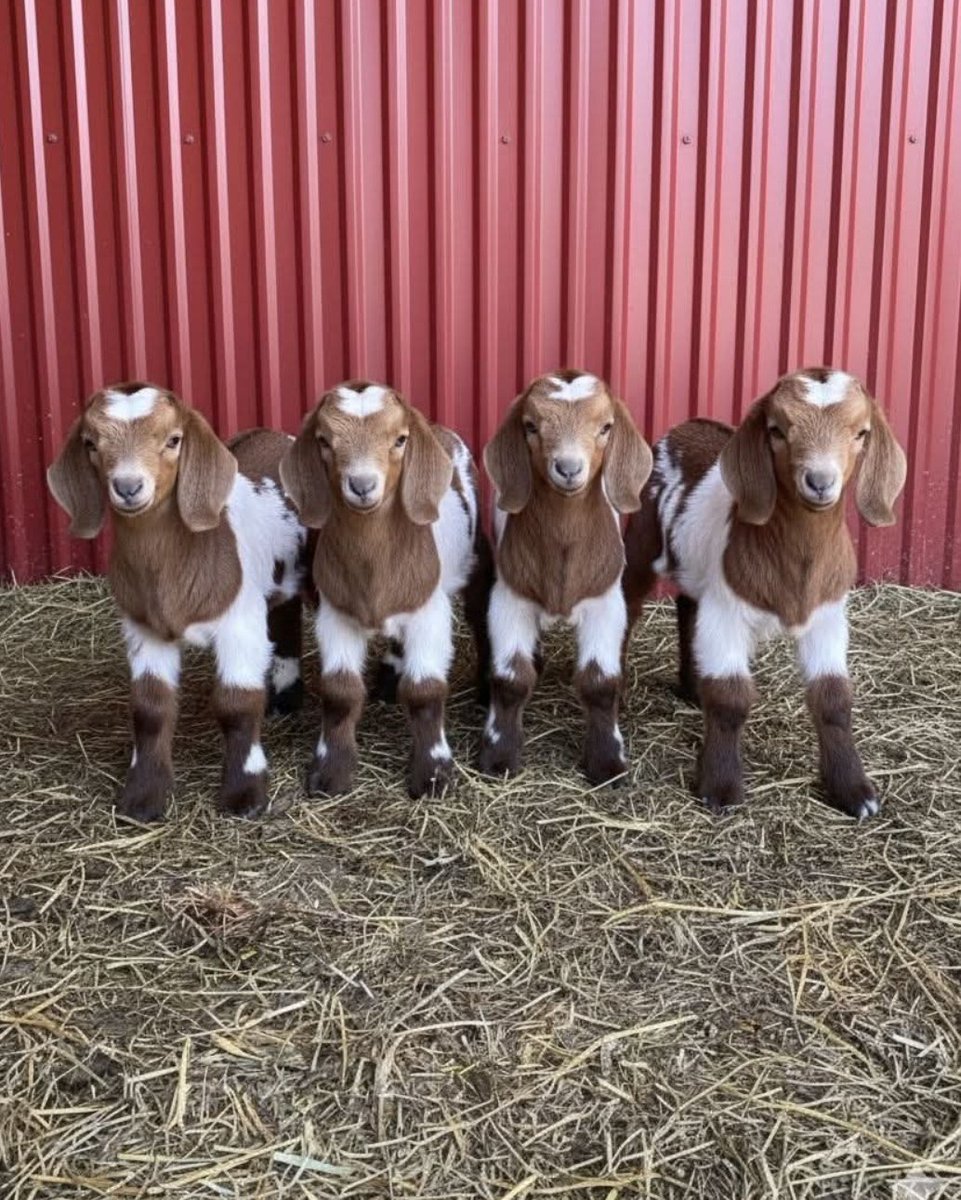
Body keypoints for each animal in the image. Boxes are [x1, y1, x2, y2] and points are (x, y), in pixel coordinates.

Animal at [47, 383, 307, 822]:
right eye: (91, 444)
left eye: (173, 440)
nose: (128, 486)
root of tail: (277, 437)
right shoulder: (143, 629)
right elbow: (150, 708)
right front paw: (143, 796)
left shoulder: (240, 624)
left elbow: (237, 703)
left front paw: (245, 793)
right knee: (285, 614)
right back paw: (285, 697)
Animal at [279, 381, 493, 799]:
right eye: (324, 441)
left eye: (400, 439)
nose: (362, 485)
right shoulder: (335, 614)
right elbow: (340, 692)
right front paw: (330, 772)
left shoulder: (430, 613)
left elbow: (425, 690)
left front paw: (432, 774)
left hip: (476, 558)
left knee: (480, 614)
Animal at [479, 370, 652, 784]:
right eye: (530, 426)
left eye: (606, 427)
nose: (569, 468)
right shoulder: (510, 599)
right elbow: (511, 679)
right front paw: (499, 755)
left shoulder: (605, 602)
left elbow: (600, 682)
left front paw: (607, 762)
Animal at [622, 367, 907, 819]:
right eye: (777, 430)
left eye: (861, 433)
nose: (820, 481)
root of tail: (687, 425)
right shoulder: (727, 611)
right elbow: (730, 697)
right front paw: (720, 787)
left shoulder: (827, 616)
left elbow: (833, 699)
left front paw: (853, 791)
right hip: (643, 539)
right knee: (629, 602)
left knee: (687, 605)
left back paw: (691, 686)